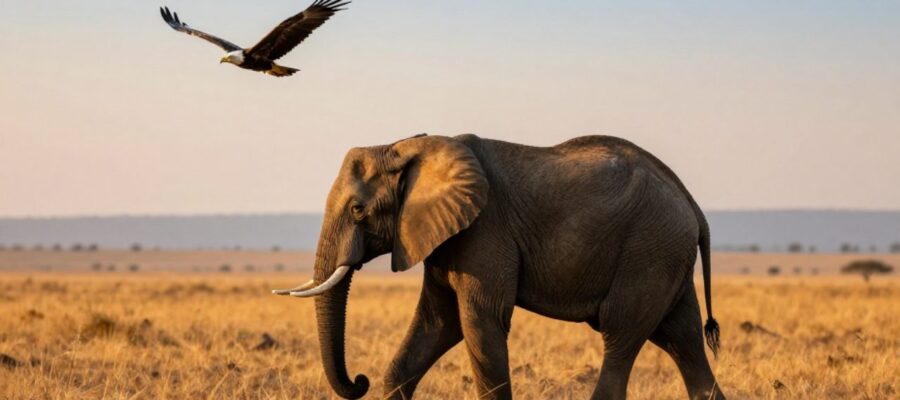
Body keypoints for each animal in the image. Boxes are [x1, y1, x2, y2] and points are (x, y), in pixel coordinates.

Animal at [274, 134, 726, 400]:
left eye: (357, 209)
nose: (359, 380)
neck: (411, 144)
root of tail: (692, 205)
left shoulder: (484, 231)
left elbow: (480, 323)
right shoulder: (446, 237)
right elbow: (437, 325)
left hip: (649, 251)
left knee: (622, 334)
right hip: (665, 256)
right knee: (683, 340)